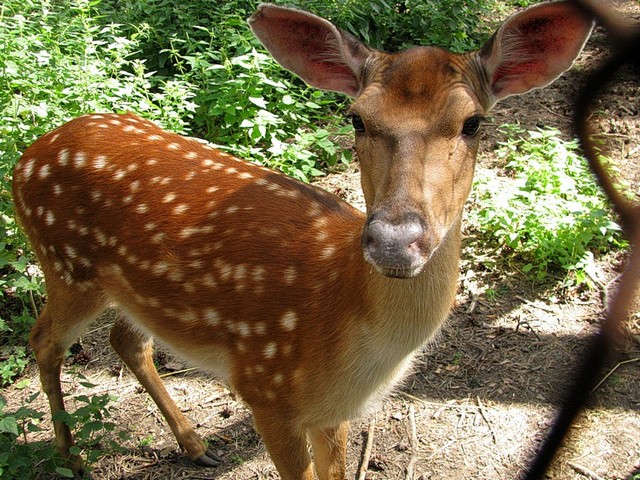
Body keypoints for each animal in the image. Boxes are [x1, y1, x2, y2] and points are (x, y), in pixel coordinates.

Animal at [13, 1, 596, 478]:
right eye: (355, 117)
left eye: (473, 122)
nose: (394, 239)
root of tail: (25, 158)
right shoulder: (264, 389)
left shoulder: (332, 413)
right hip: (66, 264)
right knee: (43, 340)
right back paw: (72, 458)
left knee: (126, 340)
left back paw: (196, 444)